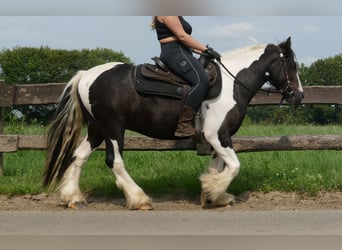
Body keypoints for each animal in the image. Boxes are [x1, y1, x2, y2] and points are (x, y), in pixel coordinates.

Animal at [44, 36, 304, 209]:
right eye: (292, 65)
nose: (300, 96)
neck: (233, 85)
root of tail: (86, 75)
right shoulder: (217, 135)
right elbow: (234, 166)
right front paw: (213, 190)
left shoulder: (219, 137)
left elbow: (219, 166)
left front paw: (213, 194)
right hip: (113, 128)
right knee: (114, 161)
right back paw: (139, 199)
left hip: (97, 128)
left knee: (79, 156)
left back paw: (72, 197)